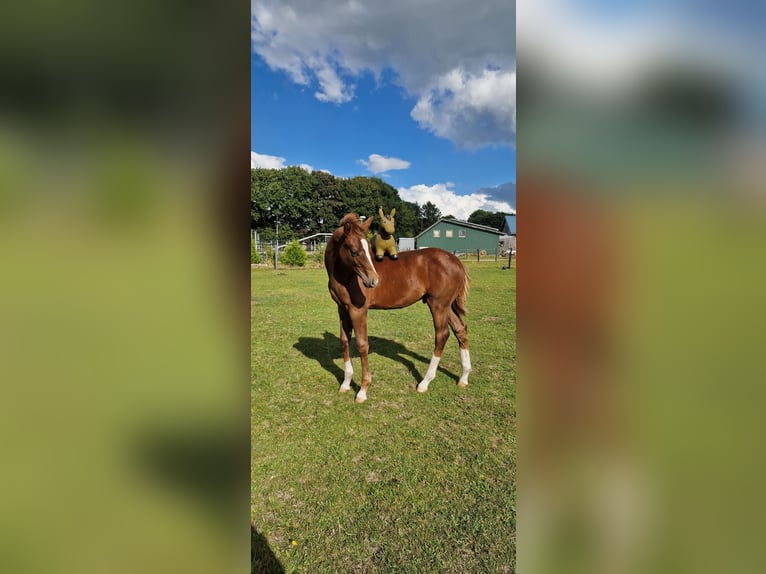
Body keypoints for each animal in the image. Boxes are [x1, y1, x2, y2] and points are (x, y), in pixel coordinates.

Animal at [324, 213, 471, 402]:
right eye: (354, 251)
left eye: (369, 249)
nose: (374, 280)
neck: (345, 277)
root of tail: (457, 261)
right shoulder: (342, 310)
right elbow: (344, 341)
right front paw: (345, 384)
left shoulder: (358, 311)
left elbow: (362, 344)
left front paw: (363, 391)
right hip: (446, 306)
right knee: (460, 330)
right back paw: (464, 377)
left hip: (438, 304)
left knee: (442, 335)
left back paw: (424, 382)